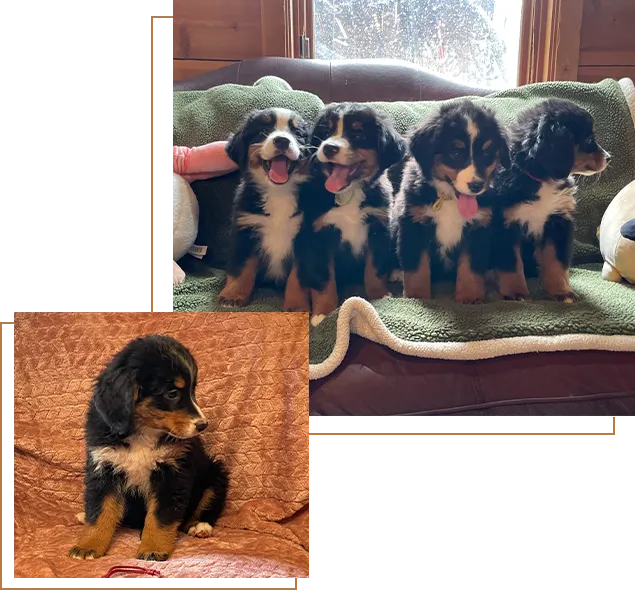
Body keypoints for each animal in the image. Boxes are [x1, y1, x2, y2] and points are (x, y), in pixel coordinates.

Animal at [69, 338, 229, 564]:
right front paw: (88, 545)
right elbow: (100, 512)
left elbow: (160, 517)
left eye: (193, 390)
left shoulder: (172, 474)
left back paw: (200, 526)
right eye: (172, 393)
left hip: (215, 475)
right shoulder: (104, 469)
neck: (143, 431)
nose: (203, 425)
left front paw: (153, 548)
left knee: (205, 505)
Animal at [217, 108, 312, 310]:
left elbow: (297, 278)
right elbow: (241, 268)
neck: (279, 193)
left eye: (297, 134)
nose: (282, 140)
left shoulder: (305, 238)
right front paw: (233, 296)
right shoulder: (245, 231)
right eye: (263, 132)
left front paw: (297, 305)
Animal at [292, 102, 408, 324]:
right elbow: (324, 279)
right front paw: (323, 312)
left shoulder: (378, 227)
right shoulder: (318, 236)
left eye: (357, 133)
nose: (329, 147)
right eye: (326, 133)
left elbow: (374, 269)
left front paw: (379, 295)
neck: (349, 194)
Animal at [396, 99, 510, 302]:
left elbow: (470, 268)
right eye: (456, 154)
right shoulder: (413, 224)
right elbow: (416, 270)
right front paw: (416, 297)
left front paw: (470, 297)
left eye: (487, 154)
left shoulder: (478, 228)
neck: (449, 199)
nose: (476, 185)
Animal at [492, 99, 612, 302]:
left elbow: (555, 261)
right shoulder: (506, 224)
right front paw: (516, 292)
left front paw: (562, 292)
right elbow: (512, 263)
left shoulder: (558, 222)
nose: (609, 158)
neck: (542, 179)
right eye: (589, 139)